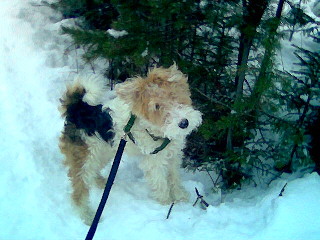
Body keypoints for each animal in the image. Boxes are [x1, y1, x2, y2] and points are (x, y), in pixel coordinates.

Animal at [58, 64, 201, 225]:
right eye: (156, 106)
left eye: (173, 95)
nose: (184, 123)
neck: (157, 130)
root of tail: (77, 109)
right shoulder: (154, 162)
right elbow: (161, 183)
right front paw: (166, 203)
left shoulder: (172, 156)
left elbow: (174, 178)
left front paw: (180, 196)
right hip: (85, 157)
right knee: (79, 191)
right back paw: (88, 216)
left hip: (104, 152)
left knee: (93, 173)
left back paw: (103, 183)